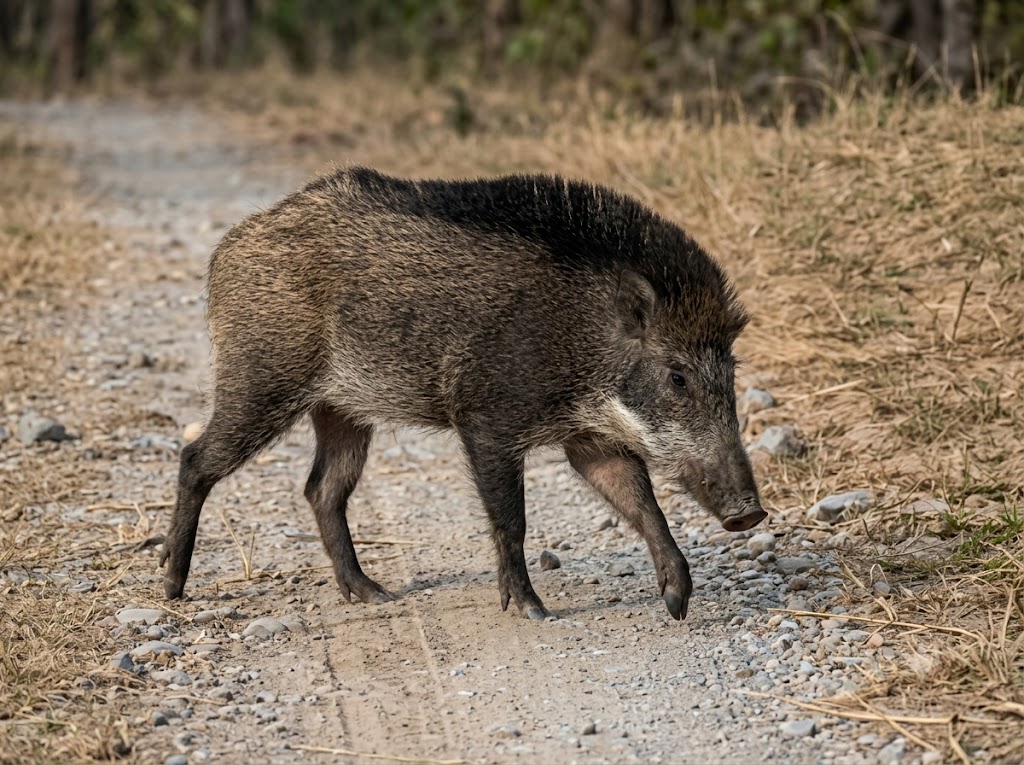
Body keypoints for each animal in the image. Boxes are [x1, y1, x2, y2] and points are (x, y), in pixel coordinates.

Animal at [160, 167, 766, 621]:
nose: (751, 513)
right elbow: (512, 519)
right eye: (677, 376)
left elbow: (642, 504)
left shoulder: (590, 438)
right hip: (261, 376)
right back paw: (172, 585)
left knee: (322, 489)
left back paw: (372, 593)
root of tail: (228, 247)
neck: (582, 338)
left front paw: (678, 602)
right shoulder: (487, 420)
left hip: (341, 408)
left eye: (731, 371)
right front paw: (532, 609)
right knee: (196, 458)